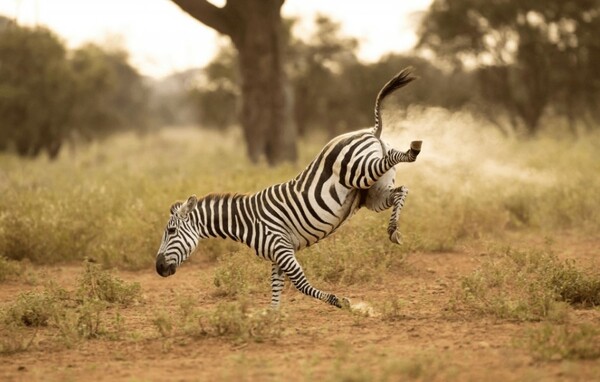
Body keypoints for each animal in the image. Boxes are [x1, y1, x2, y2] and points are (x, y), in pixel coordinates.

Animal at [154, 68, 422, 310]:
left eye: (171, 231)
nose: (158, 268)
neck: (244, 222)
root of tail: (369, 131)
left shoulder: (281, 248)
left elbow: (301, 285)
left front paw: (342, 302)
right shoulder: (277, 255)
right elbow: (275, 289)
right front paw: (270, 318)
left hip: (359, 171)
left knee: (395, 162)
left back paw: (414, 149)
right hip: (372, 193)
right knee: (401, 190)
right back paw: (394, 231)